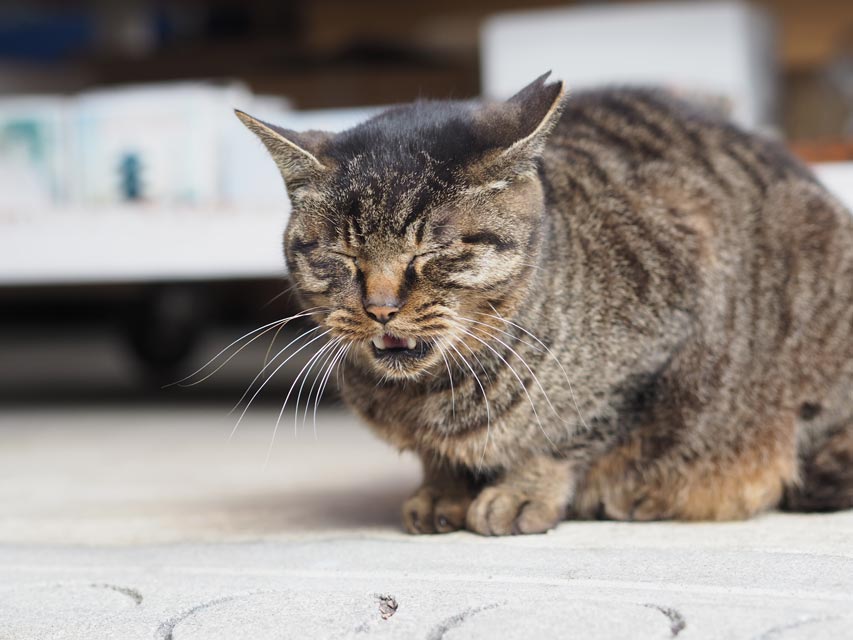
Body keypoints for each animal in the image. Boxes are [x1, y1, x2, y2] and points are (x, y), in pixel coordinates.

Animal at [236, 72, 852, 536]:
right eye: (342, 254)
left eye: (433, 249)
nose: (381, 307)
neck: (433, 397)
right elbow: (439, 458)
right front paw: (441, 491)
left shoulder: (651, 347)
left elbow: (565, 436)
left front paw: (525, 490)